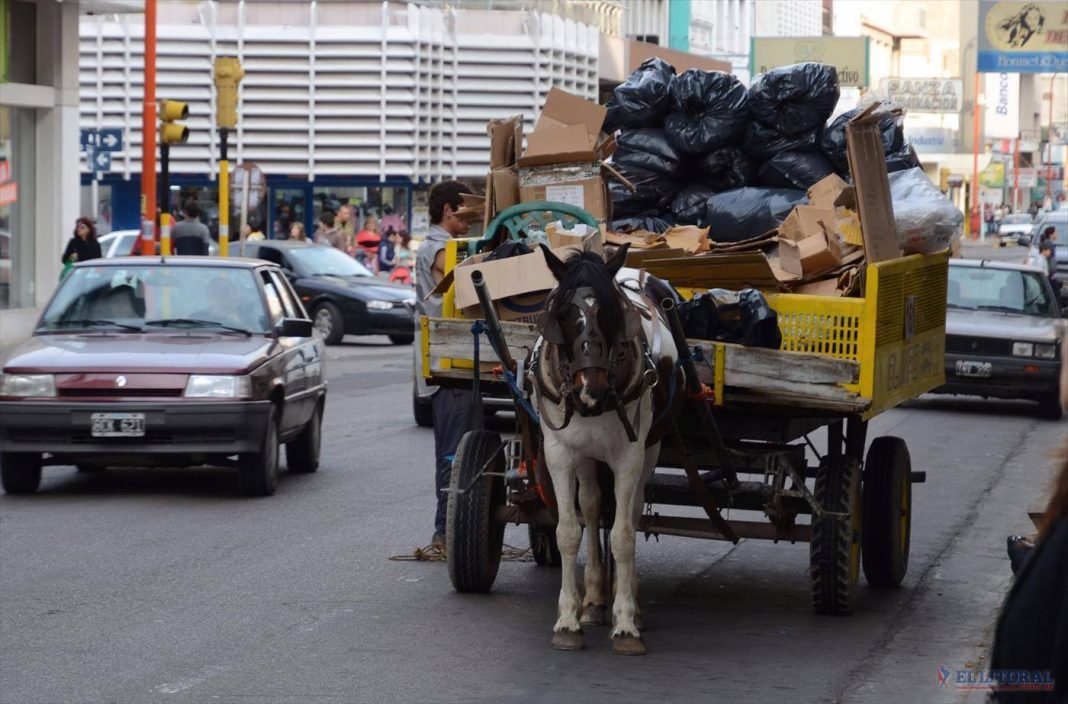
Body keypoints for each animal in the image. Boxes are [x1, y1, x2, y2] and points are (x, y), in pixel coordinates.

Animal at [531, 243, 679, 653]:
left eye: (611, 313)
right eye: (563, 313)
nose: (590, 389)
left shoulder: (630, 455)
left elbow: (623, 535)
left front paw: (625, 623)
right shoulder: (559, 454)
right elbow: (569, 531)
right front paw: (568, 620)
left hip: (650, 449)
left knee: (630, 510)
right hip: (586, 456)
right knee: (594, 506)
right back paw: (595, 600)